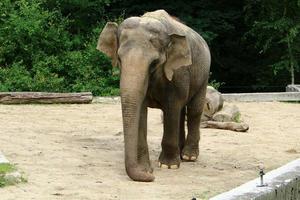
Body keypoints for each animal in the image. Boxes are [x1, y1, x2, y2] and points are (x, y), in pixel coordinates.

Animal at [97, 9, 210, 182]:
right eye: (120, 59)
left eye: (154, 63)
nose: (151, 177)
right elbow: (141, 112)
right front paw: (145, 169)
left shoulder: (178, 72)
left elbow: (171, 108)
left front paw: (168, 166)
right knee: (181, 112)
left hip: (203, 75)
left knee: (193, 110)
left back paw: (188, 157)